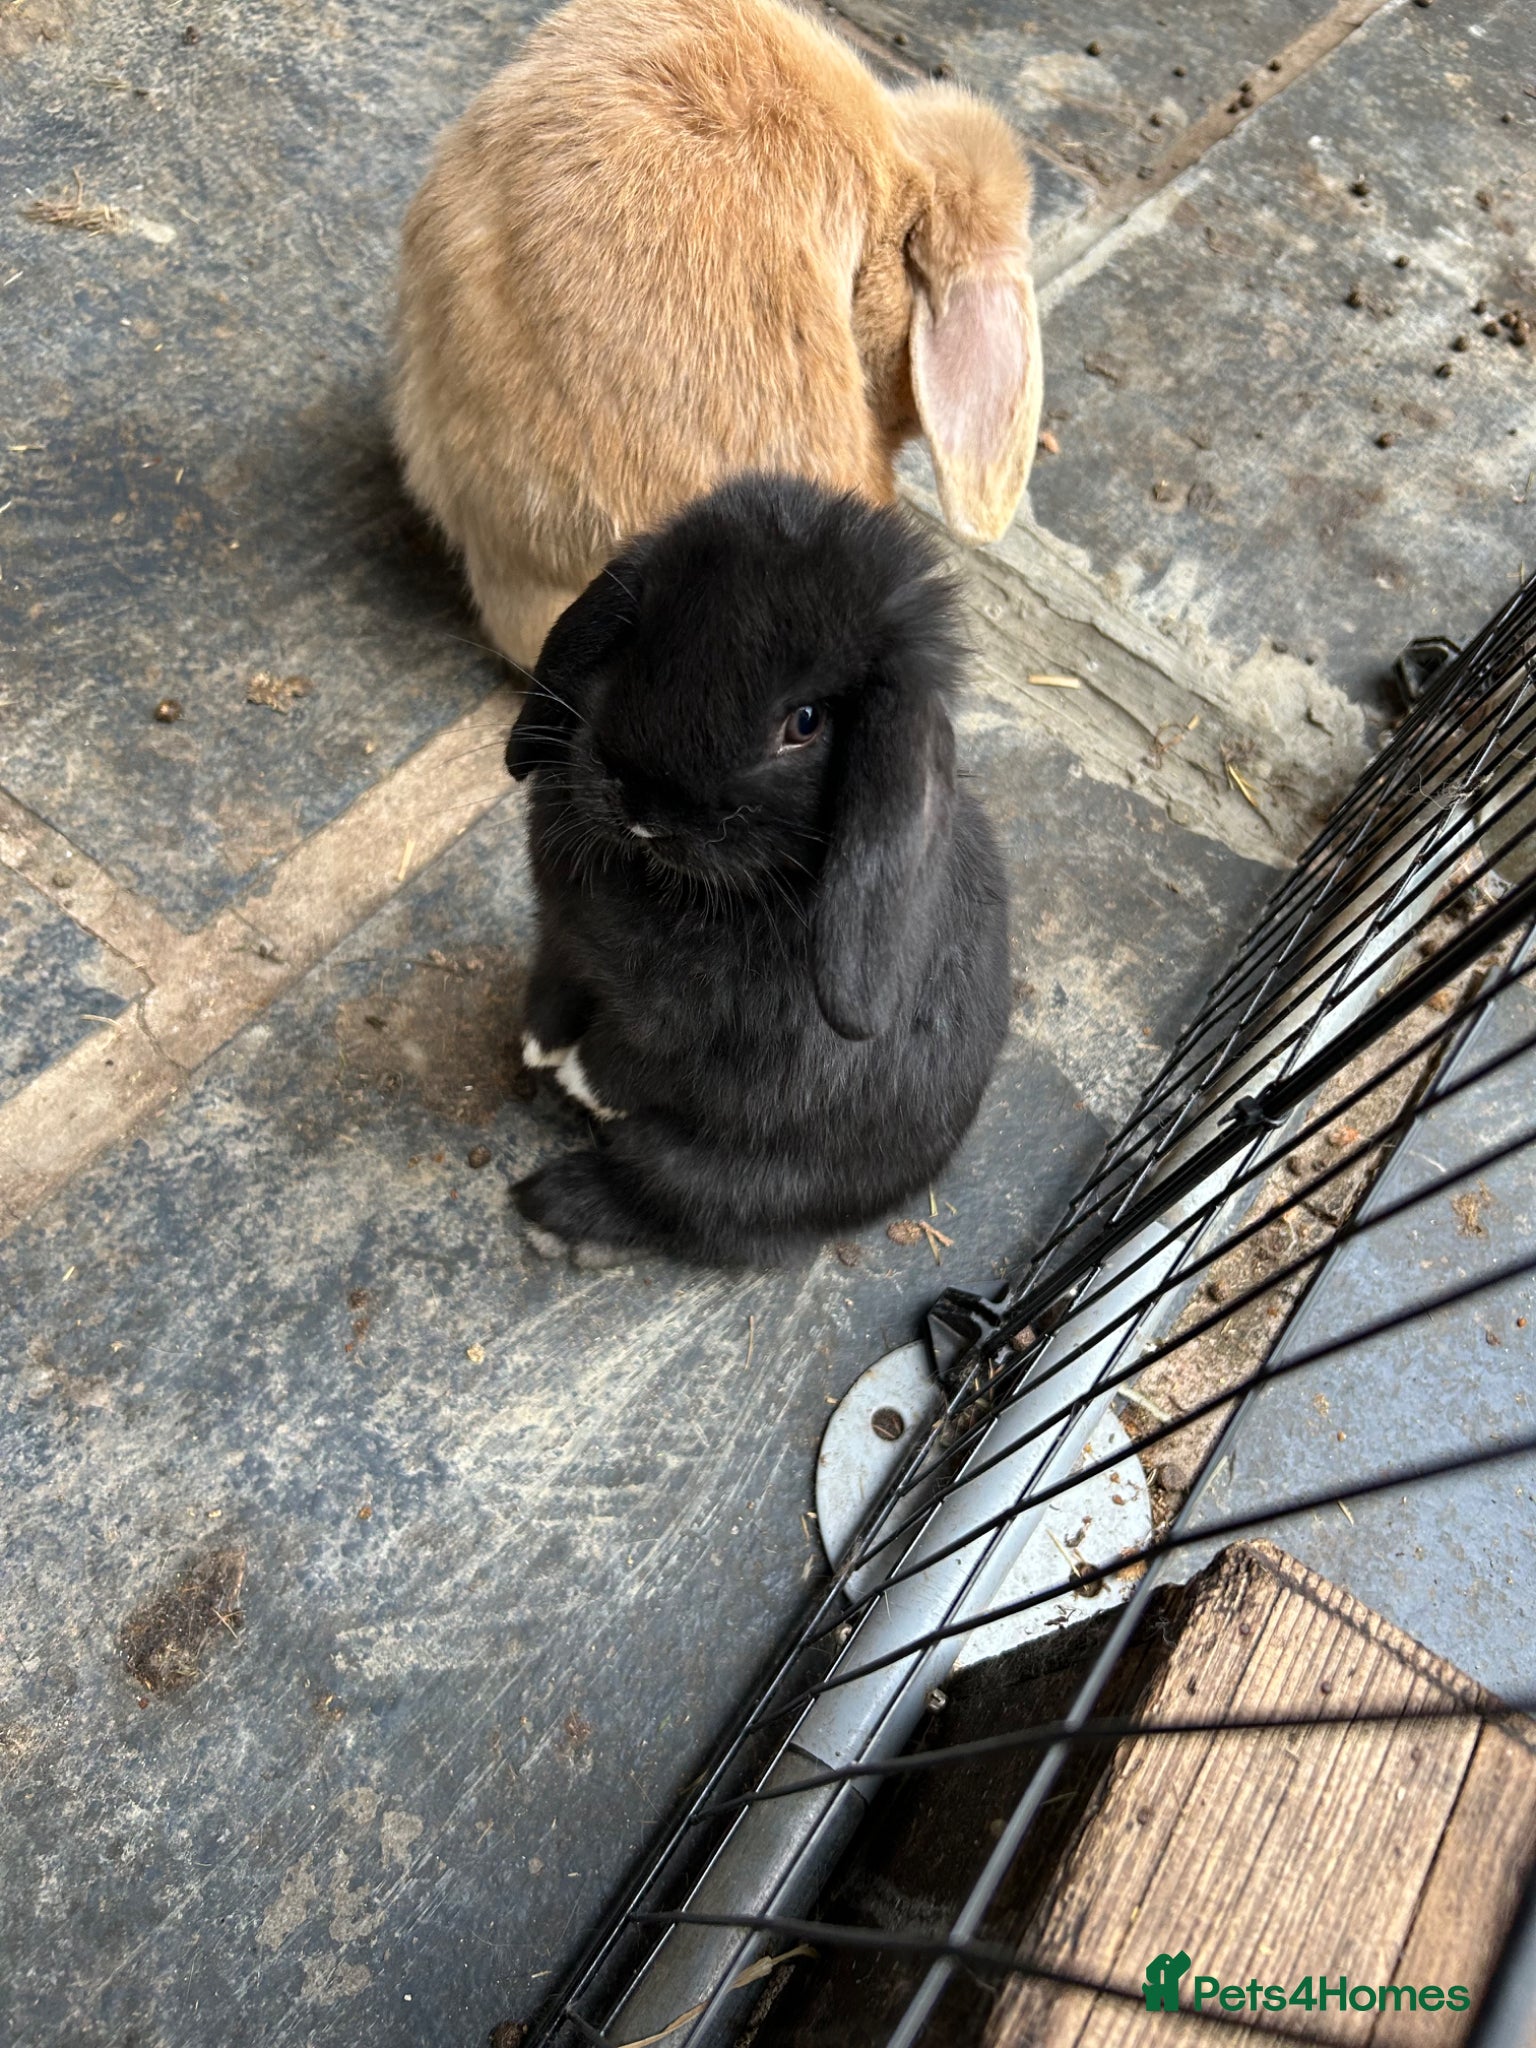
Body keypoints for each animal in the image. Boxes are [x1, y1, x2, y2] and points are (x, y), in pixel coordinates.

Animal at [505, 472, 1011, 1267]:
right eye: (637, 634)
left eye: (804, 722)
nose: (643, 802)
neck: (667, 883)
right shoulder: (560, 941)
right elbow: (557, 984)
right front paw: (540, 1043)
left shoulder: (694, 1039)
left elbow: (637, 1060)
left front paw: (581, 1081)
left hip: (700, 1171)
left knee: (675, 1209)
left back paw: (556, 1213)